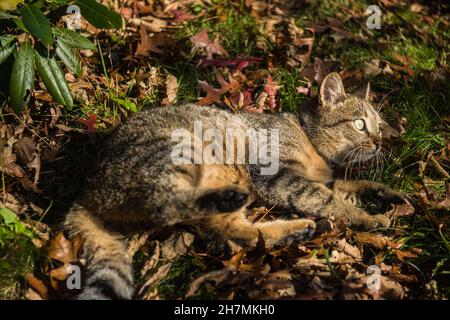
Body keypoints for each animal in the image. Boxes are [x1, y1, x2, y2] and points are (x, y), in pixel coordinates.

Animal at [63, 73, 404, 300]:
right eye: (359, 124)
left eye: (378, 124)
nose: (379, 141)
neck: (311, 141)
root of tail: (87, 190)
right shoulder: (278, 176)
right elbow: (327, 198)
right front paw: (367, 217)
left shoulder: (325, 177)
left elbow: (352, 183)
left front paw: (385, 193)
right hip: (182, 155)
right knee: (168, 206)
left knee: (231, 233)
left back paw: (297, 229)